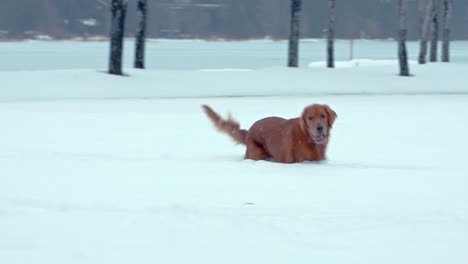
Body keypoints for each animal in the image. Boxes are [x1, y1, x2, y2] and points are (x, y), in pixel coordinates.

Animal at [201, 104, 336, 163]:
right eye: (310, 118)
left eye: (323, 116)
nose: (320, 128)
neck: (306, 137)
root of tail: (249, 131)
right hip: (257, 153)